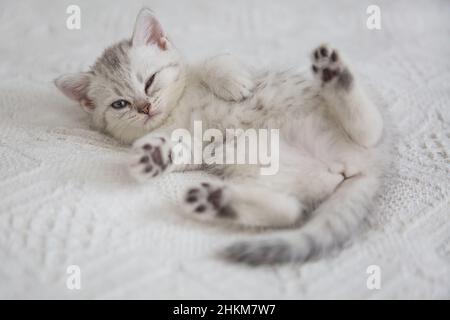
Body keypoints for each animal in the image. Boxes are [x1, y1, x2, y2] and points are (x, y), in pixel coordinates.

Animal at [54, 8, 388, 266]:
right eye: (120, 104)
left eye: (149, 81)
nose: (145, 107)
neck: (176, 109)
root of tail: (362, 167)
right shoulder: (193, 145)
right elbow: (177, 149)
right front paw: (154, 156)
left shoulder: (212, 66)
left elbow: (216, 60)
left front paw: (233, 83)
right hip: (265, 171)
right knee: (290, 210)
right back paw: (216, 200)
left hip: (339, 127)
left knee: (372, 130)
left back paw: (335, 74)